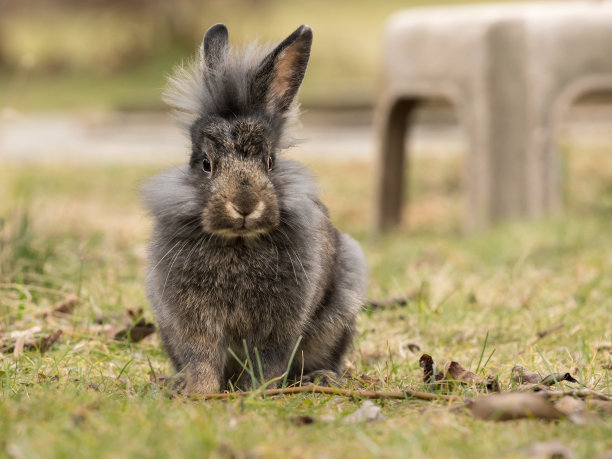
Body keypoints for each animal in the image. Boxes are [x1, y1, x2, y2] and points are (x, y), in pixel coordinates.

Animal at [141, 22, 366, 396]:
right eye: (206, 164)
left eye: (270, 162)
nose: (245, 205)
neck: (238, 241)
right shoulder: (192, 324)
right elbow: (202, 359)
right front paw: (200, 392)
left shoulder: (278, 328)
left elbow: (267, 360)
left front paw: (257, 391)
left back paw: (319, 378)